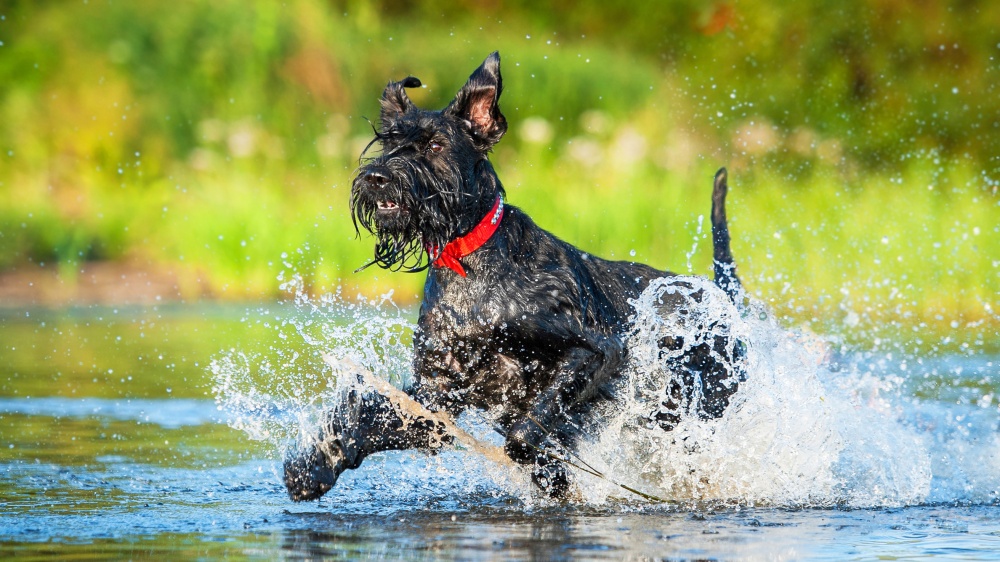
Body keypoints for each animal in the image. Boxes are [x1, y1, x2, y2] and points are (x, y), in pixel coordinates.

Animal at [282, 52, 744, 498]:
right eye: (388, 142)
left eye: (436, 144)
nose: (377, 177)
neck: (468, 267)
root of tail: (723, 301)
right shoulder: (438, 396)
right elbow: (367, 420)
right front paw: (312, 467)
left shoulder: (595, 350)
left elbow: (530, 427)